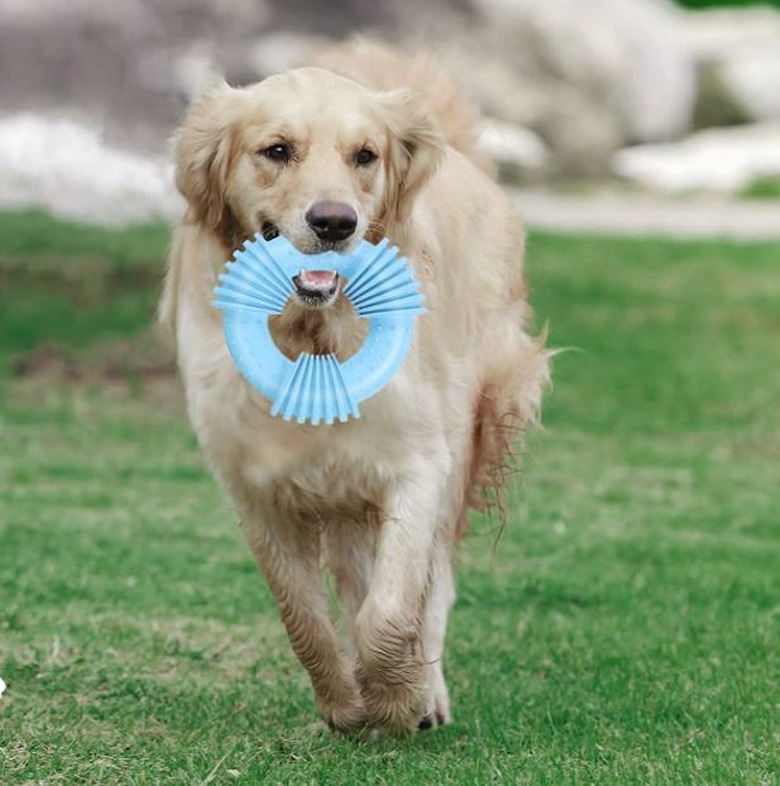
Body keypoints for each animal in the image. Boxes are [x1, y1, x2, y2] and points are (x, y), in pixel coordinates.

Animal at [160, 38, 548, 736]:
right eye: (277, 150)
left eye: (364, 155)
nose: (334, 222)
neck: (311, 333)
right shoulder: (256, 490)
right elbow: (305, 619)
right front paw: (344, 703)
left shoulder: (418, 466)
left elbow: (392, 612)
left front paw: (398, 698)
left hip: (469, 435)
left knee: (434, 584)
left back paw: (428, 692)